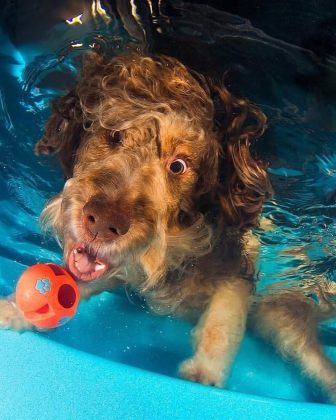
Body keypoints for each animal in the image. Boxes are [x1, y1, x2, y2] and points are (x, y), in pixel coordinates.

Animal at [0, 52, 336, 400]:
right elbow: (75, 280)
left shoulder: (237, 273)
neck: (177, 241)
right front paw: (17, 309)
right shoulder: (122, 265)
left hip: (281, 315)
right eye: (114, 135)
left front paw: (204, 373)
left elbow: (222, 324)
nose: (102, 223)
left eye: (178, 166)